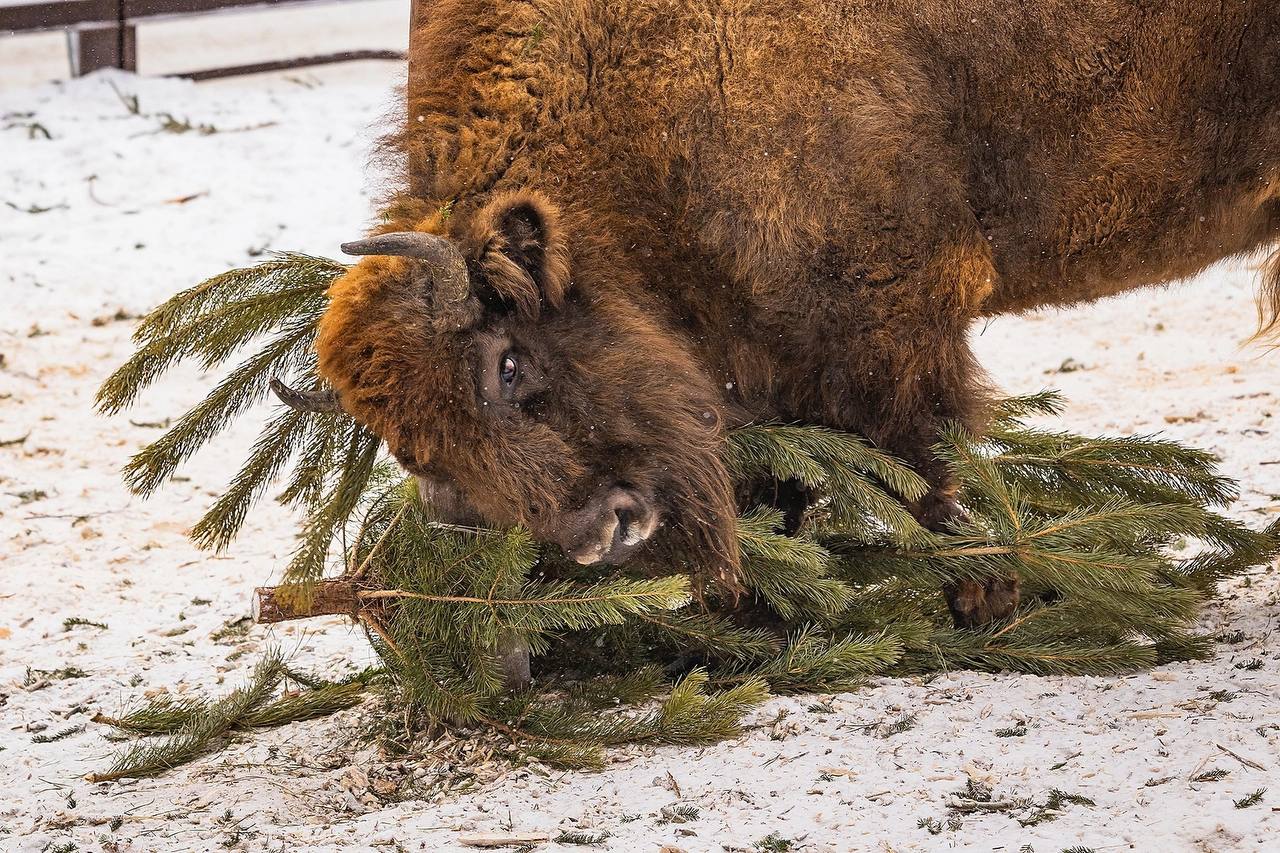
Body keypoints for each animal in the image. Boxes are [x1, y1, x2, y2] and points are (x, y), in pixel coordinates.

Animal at [296, 0, 1280, 625]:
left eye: (508, 362)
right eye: (416, 451)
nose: (600, 533)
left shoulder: (892, 321)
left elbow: (918, 467)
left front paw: (981, 597)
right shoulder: (773, 356)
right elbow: (792, 480)